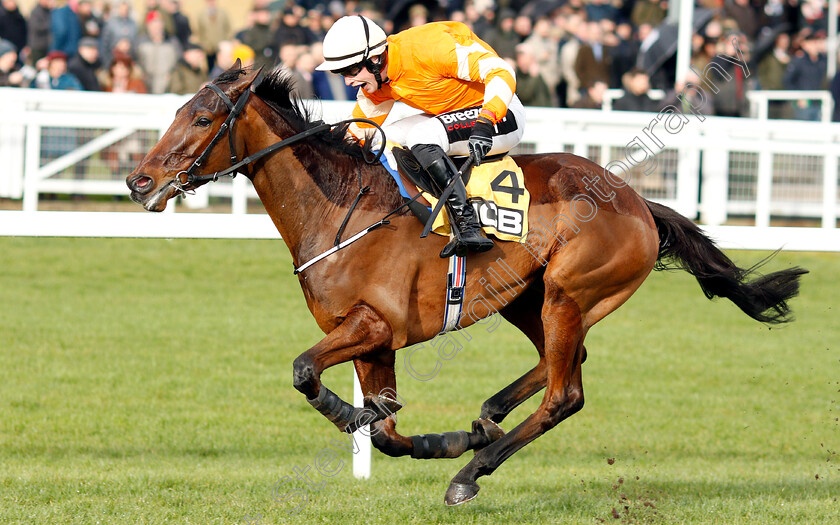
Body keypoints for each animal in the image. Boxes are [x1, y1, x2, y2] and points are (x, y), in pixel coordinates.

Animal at [124, 65, 808, 504]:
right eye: (177, 112)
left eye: (202, 118)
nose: (138, 180)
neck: (341, 206)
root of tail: (640, 201)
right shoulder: (373, 340)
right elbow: (385, 429)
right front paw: (441, 437)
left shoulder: (374, 324)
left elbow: (304, 372)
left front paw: (369, 421)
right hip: (528, 296)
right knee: (564, 363)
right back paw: (486, 421)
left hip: (569, 291)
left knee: (565, 393)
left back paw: (471, 472)